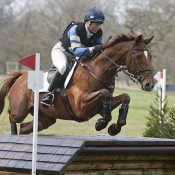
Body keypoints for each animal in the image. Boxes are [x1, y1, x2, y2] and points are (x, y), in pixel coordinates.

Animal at [0, 33, 154, 135]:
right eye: (138, 57)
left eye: (150, 57)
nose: (149, 85)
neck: (98, 71)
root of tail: (22, 75)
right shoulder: (81, 106)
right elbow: (104, 94)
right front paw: (100, 124)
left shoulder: (100, 107)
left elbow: (125, 97)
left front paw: (114, 127)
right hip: (20, 110)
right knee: (12, 116)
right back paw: (13, 133)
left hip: (46, 118)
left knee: (24, 128)